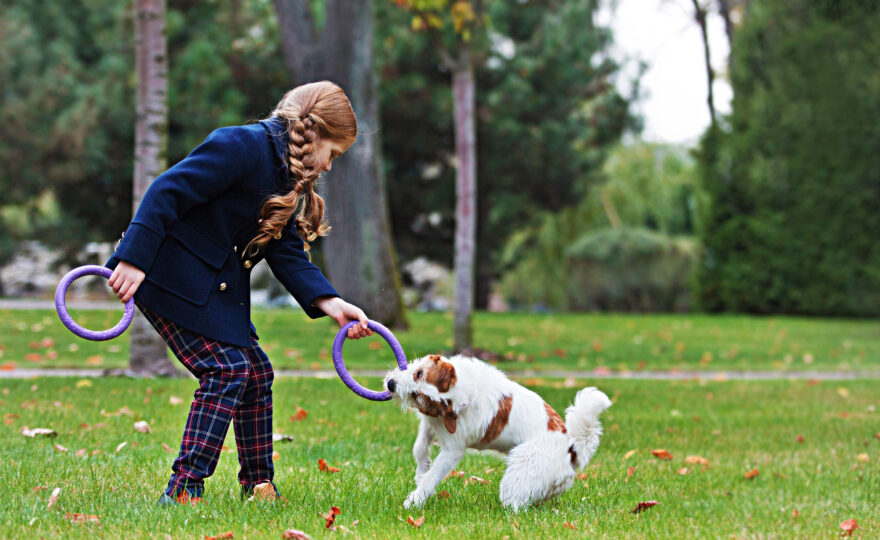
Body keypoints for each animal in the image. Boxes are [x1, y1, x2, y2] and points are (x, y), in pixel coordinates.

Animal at [384, 354, 612, 510]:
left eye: (419, 375)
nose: (391, 384)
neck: (464, 390)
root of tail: (572, 448)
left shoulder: (452, 450)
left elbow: (433, 476)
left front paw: (415, 499)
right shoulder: (432, 423)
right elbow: (419, 447)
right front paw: (421, 471)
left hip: (518, 477)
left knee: (516, 504)